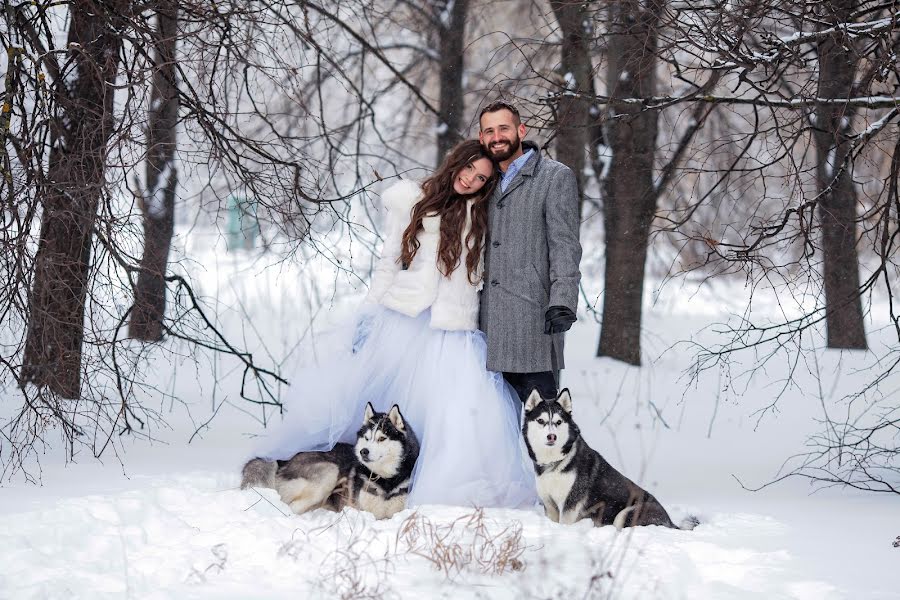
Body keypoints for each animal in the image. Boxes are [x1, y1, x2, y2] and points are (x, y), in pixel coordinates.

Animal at [241, 404, 420, 520]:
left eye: (382, 438)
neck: (385, 480)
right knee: (290, 508)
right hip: (329, 472)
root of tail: (284, 461)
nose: (363, 451)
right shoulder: (361, 510)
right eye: (367, 438)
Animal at [520, 390, 684, 528]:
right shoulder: (549, 504)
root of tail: (670, 522)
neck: (554, 462)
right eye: (541, 421)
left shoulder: (570, 504)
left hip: (624, 514)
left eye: (559, 422)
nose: (551, 436)